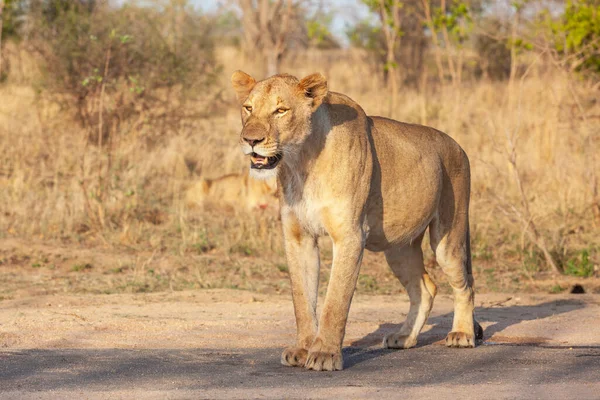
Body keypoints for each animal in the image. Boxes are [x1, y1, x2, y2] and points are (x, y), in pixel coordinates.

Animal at [230, 69, 482, 372]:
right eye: (248, 108)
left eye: (280, 110)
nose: (250, 140)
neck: (301, 162)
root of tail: (458, 145)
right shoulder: (299, 237)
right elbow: (302, 300)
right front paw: (302, 349)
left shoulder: (350, 235)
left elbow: (335, 300)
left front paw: (325, 354)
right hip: (398, 248)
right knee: (425, 288)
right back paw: (404, 337)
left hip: (449, 236)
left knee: (464, 285)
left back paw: (462, 334)